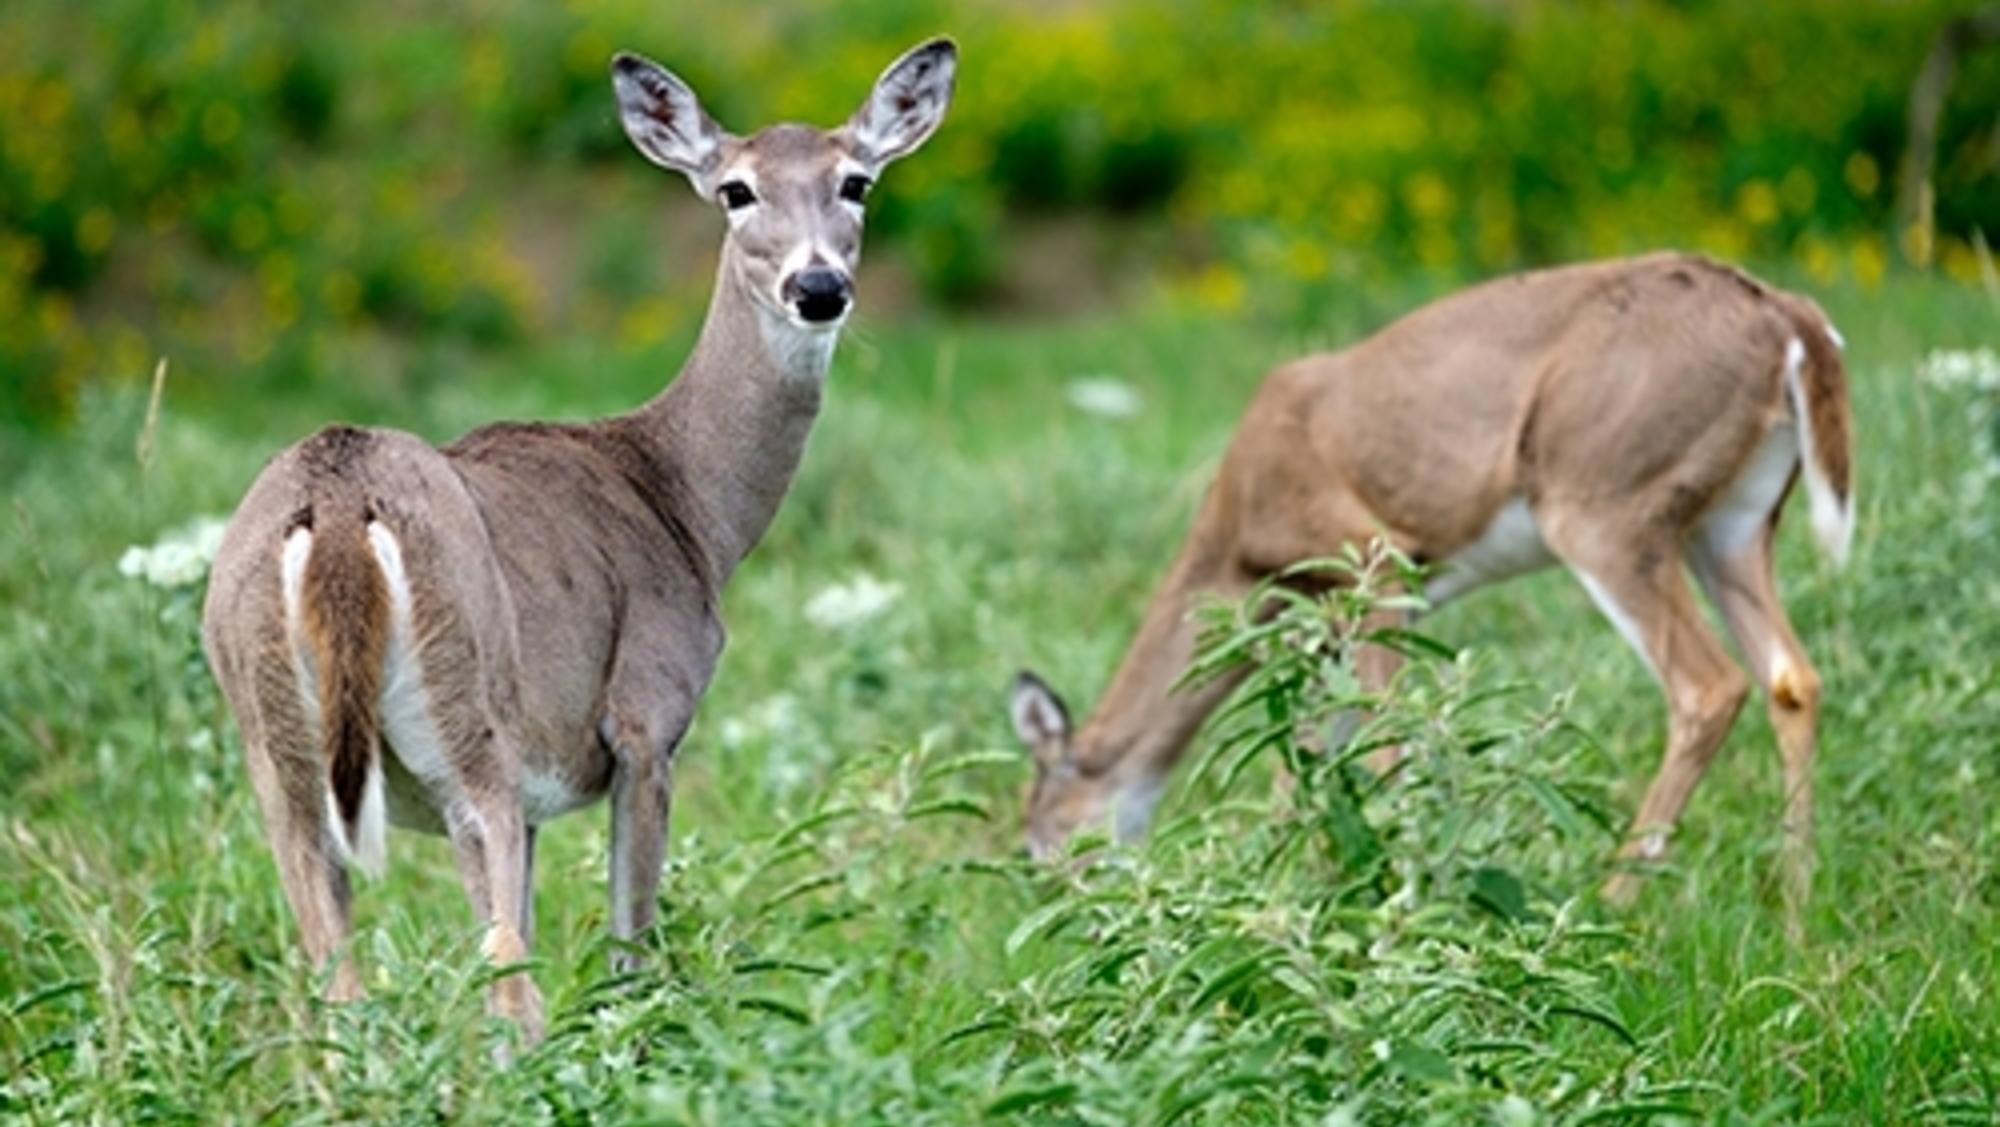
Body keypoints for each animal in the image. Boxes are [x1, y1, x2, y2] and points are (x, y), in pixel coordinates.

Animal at [203, 35, 960, 1047]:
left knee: (340, 993)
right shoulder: (644, 717)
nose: (818, 287)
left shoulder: (534, 797)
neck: (687, 504)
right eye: (736, 190)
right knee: (505, 989)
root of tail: (334, 505)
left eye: (857, 182)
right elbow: (629, 952)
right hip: (468, 726)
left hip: (280, 758)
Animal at [1008, 252, 1848, 907]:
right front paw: (1291, 890)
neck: (1236, 542)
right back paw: (1798, 910)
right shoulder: (1340, 617)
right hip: (1734, 521)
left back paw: (1610, 906)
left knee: (1709, 686)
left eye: (1038, 841)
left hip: (1604, 503)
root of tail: (1789, 320)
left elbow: (1382, 742)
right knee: (1792, 677)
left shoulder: (1374, 562)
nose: (1074, 911)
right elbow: (1308, 758)